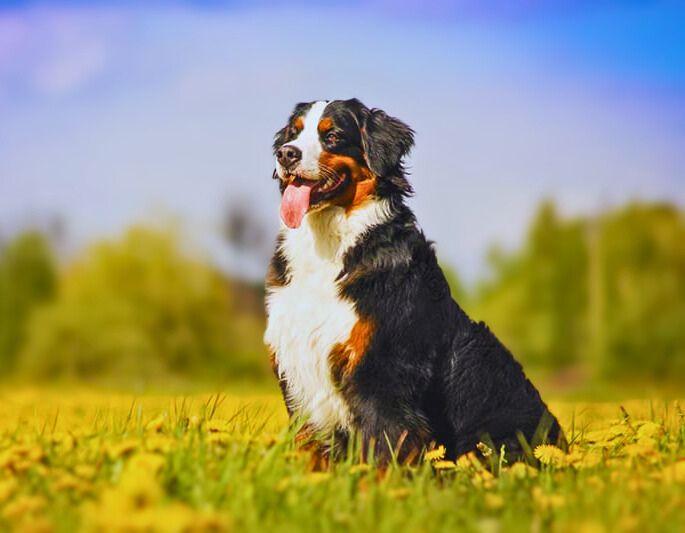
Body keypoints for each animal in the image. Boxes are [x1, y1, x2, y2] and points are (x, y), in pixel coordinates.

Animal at [264, 100, 564, 466]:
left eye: (332, 135)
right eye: (293, 133)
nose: (285, 154)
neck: (329, 244)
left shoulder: (381, 372)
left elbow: (383, 450)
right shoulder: (298, 370)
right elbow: (307, 449)